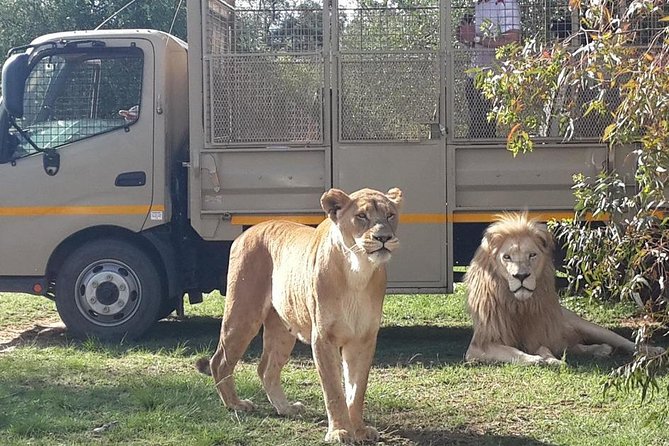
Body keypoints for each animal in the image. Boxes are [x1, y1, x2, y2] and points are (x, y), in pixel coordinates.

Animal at [196, 187, 403, 443]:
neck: (358, 270)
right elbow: (334, 390)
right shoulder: (323, 338)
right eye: (361, 216)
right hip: (243, 313)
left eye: (390, 215)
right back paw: (236, 405)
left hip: (282, 330)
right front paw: (339, 431)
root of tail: (247, 233)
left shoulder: (363, 339)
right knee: (220, 361)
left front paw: (359, 429)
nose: (383, 237)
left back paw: (285, 408)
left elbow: (356, 389)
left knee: (266, 369)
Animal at [464, 212, 665, 365]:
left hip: (587, 326)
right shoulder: (478, 346)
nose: (521, 276)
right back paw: (600, 350)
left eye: (532, 255)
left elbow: (541, 348)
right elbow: (514, 351)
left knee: (624, 342)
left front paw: (548, 359)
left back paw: (652, 350)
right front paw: (539, 359)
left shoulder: (539, 334)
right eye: (507, 257)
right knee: (575, 346)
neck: (519, 304)